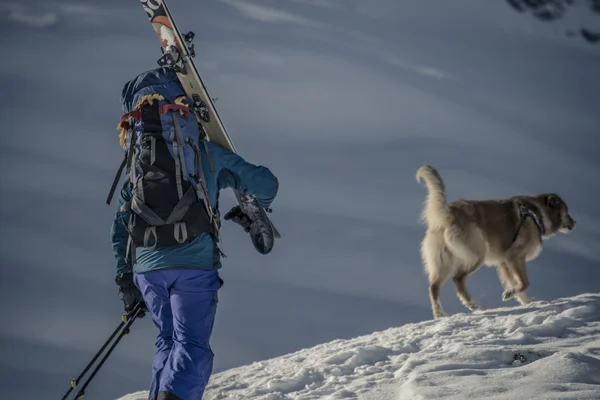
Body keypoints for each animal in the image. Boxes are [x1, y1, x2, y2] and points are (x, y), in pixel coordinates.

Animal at [414, 163, 576, 318]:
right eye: (567, 211)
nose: (574, 223)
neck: (536, 214)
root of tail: (447, 214)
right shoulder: (514, 257)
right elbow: (524, 283)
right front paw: (510, 294)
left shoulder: (503, 262)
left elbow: (517, 285)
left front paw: (526, 301)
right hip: (477, 254)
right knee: (458, 279)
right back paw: (472, 305)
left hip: (444, 262)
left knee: (434, 287)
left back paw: (440, 314)